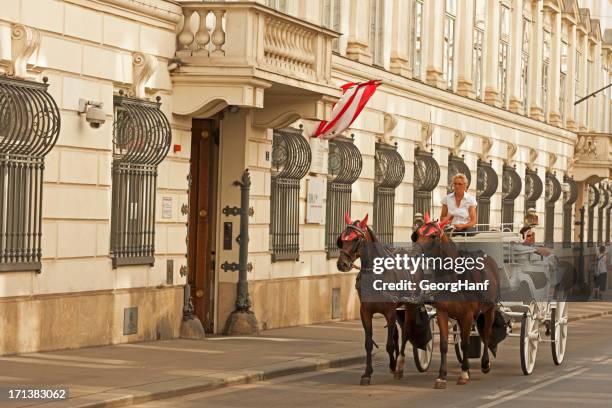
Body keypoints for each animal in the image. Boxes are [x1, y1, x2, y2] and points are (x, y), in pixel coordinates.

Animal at [334, 214, 416, 386]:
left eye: (356, 239)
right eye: (342, 239)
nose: (341, 264)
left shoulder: (390, 311)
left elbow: (389, 345)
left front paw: (393, 365)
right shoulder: (365, 311)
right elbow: (368, 344)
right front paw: (367, 373)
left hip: (410, 307)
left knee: (405, 333)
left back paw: (399, 365)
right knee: (396, 333)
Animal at [412, 214, 502, 388]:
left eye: (433, 236)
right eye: (417, 234)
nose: (413, 254)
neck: (453, 277)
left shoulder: (467, 315)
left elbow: (466, 343)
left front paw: (464, 373)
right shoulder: (442, 313)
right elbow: (444, 345)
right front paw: (442, 376)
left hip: (489, 309)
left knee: (486, 334)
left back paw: (485, 364)